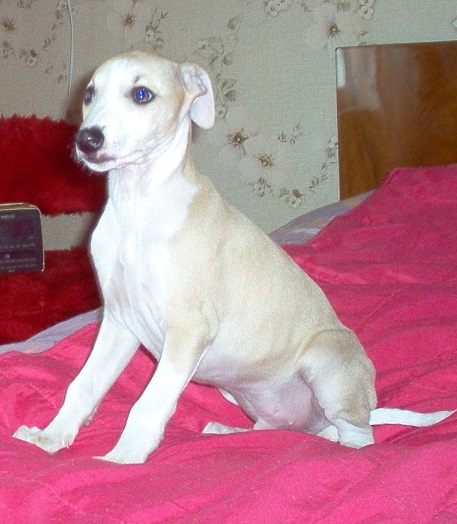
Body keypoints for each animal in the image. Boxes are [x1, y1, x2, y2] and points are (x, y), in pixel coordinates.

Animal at [14, 51, 453, 463]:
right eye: (89, 94)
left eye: (141, 95)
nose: (86, 140)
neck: (138, 205)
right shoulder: (120, 322)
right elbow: (82, 385)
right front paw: (49, 439)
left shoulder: (189, 330)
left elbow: (148, 404)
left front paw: (122, 460)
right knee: (277, 430)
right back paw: (227, 432)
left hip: (328, 360)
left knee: (356, 435)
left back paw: (345, 451)